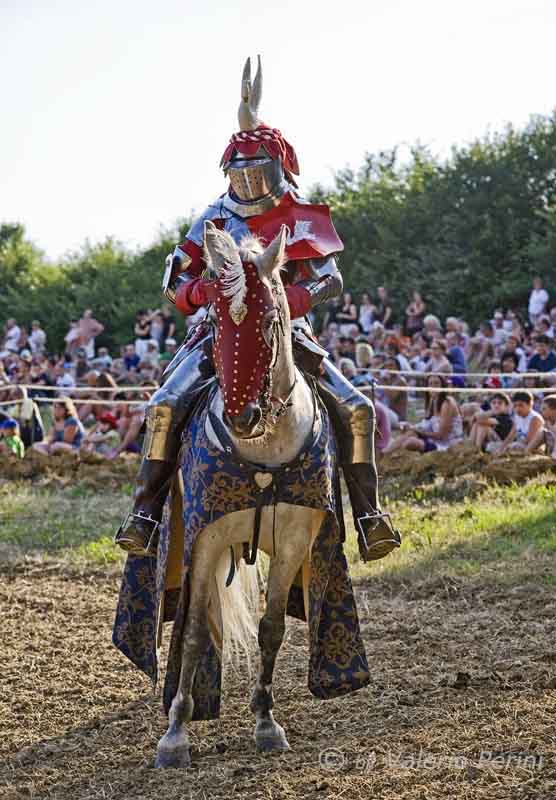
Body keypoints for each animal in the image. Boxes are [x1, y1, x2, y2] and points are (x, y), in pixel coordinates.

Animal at [151, 222, 370, 772]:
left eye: (271, 322)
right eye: (216, 325)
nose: (242, 416)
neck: (263, 449)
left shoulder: (295, 540)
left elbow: (270, 628)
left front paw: (267, 722)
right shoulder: (204, 540)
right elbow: (194, 631)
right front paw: (175, 735)